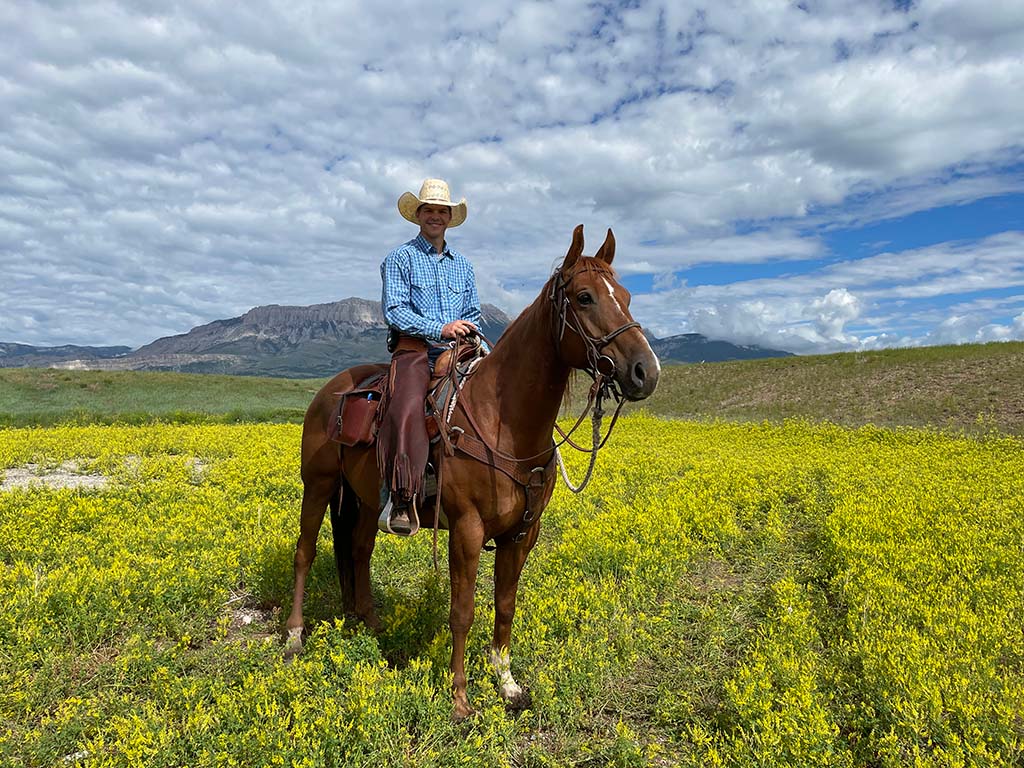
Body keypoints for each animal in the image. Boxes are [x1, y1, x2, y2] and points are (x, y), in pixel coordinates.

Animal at [284, 225, 659, 720]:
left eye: (628, 296)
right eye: (584, 297)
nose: (646, 372)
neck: (504, 422)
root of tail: (330, 390)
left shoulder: (523, 533)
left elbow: (505, 604)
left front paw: (506, 683)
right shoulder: (466, 530)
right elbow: (462, 611)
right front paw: (460, 696)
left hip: (365, 500)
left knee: (359, 553)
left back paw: (369, 622)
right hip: (319, 484)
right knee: (305, 553)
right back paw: (293, 636)